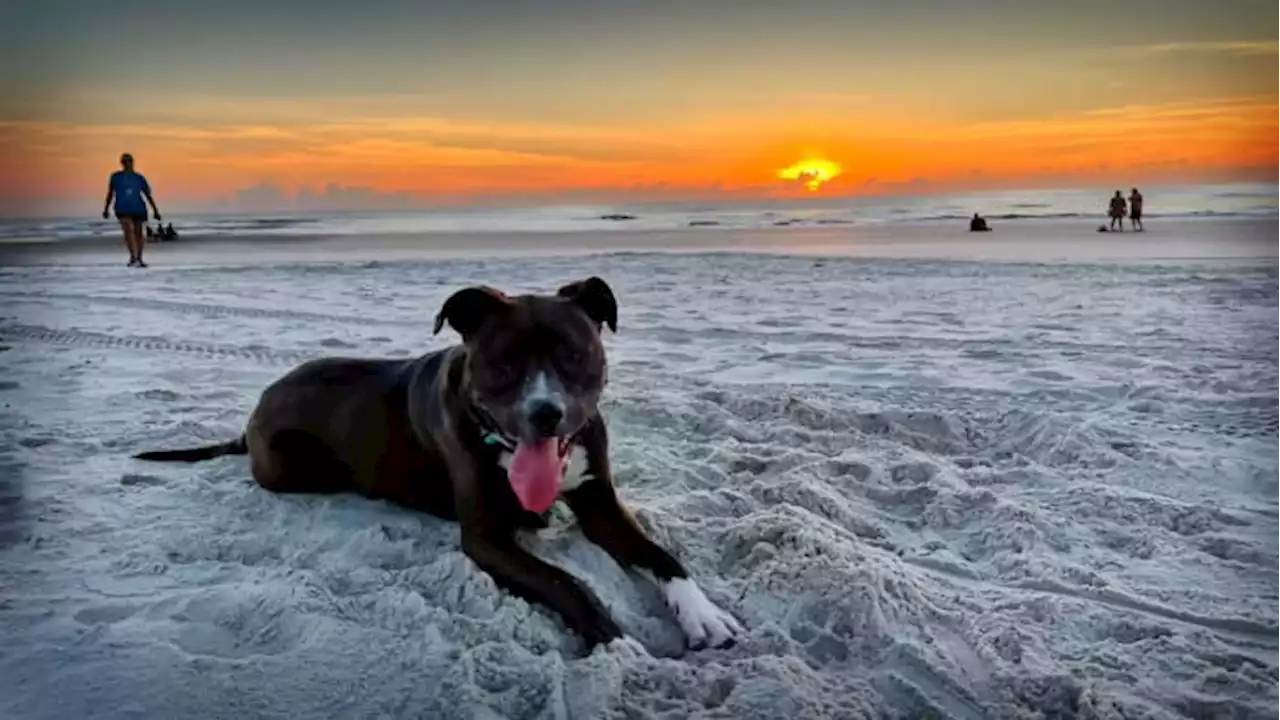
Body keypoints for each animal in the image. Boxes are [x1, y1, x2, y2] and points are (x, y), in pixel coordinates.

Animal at [132, 278, 742, 648]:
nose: (545, 413)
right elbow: (568, 582)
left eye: (574, 355)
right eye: (502, 362)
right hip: (292, 466)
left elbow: (661, 555)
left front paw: (703, 613)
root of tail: (255, 410)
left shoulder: (600, 504)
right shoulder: (486, 538)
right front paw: (614, 639)